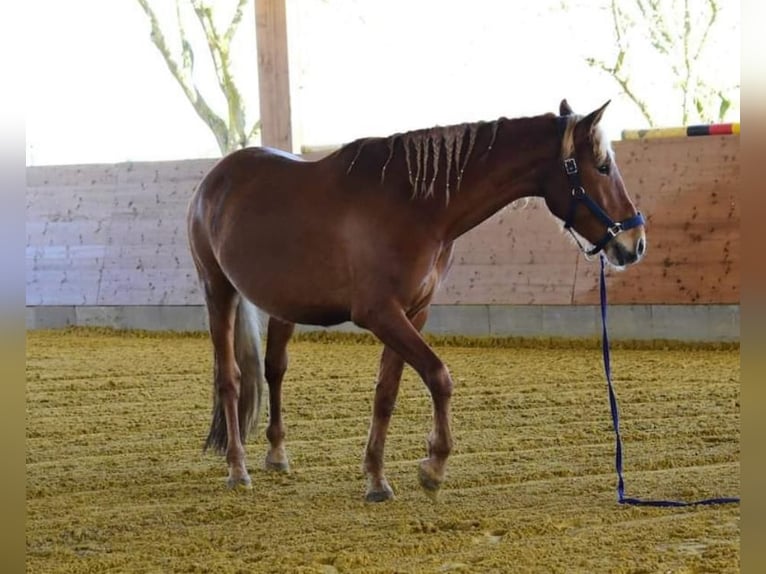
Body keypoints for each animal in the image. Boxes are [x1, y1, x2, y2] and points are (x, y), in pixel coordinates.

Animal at [188, 100, 648, 504]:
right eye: (602, 167)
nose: (635, 242)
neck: (416, 204)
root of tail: (215, 179)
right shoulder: (380, 314)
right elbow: (439, 376)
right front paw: (434, 467)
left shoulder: (412, 313)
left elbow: (386, 393)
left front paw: (376, 477)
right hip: (218, 291)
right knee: (229, 379)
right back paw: (237, 468)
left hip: (282, 306)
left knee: (274, 370)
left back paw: (277, 454)